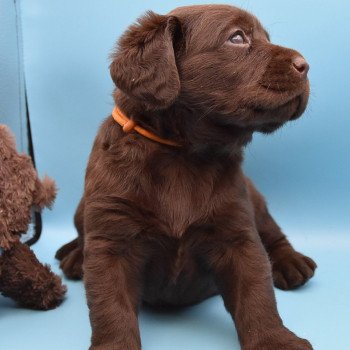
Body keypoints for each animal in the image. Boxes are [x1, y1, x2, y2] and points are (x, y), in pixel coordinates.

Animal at [56, 4, 318, 348]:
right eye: (237, 37)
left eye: (267, 37)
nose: (305, 65)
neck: (184, 156)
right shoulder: (111, 241)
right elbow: (110, 307)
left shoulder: (237, 234)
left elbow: (257, 295)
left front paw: (275, 340)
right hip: (83, 206)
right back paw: (74, 256)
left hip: (254, 199)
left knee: (272, 232)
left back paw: (291, 263)